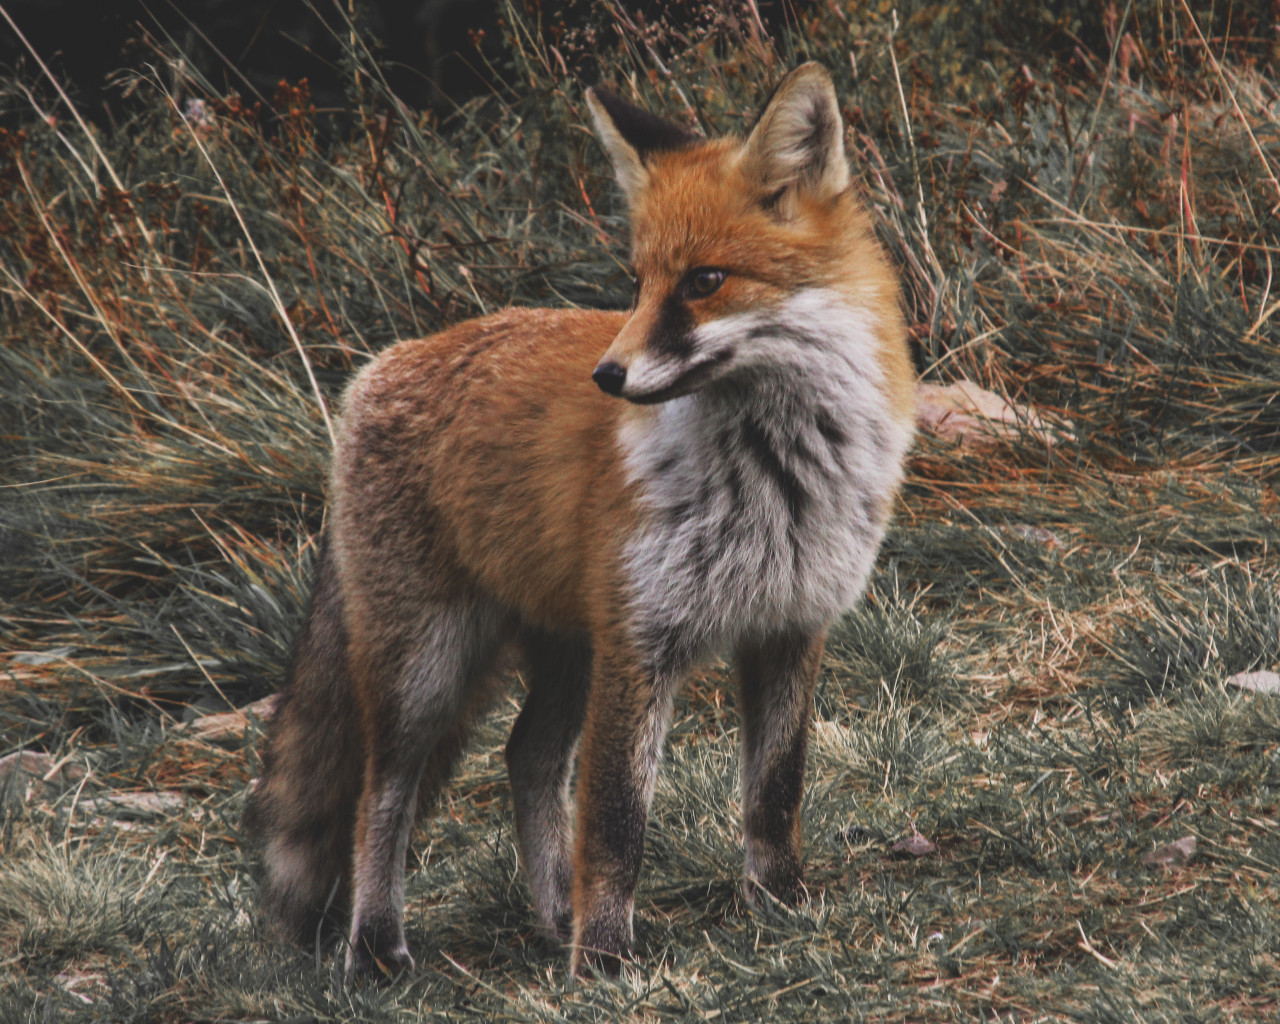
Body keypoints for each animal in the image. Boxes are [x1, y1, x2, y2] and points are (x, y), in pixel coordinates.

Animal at [245, 62, 916, 978]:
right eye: (636, 283)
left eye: (704, 281)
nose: (609, 375)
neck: (775, 475)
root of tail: (382, 366)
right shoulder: (642, 642)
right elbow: (616, 820)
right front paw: (602, 960)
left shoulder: (790, 625)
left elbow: (775, 792)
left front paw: (779, 904)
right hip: (427, 667)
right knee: (380, 795)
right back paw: (379, 945)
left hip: (566, 652)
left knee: (525, 757)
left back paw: (552, 913)